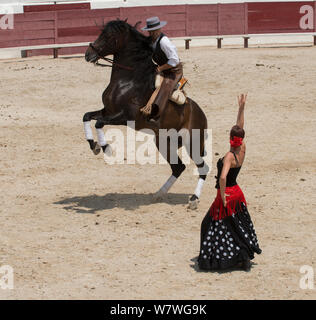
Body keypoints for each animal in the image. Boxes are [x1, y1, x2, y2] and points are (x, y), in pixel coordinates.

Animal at [82, 20, 209, 210]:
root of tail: (201, 115)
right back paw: (158, 194)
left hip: (192, 143)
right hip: (164, 143)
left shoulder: (124, 117)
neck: (128, 81)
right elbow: (87, 116)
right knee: (178, 168)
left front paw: (106, 148)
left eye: (109, 36)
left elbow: (98, 123)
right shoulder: (107, 111)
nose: (88, 54)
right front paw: (94, 145)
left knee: (202, 168)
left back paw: (194, 199)